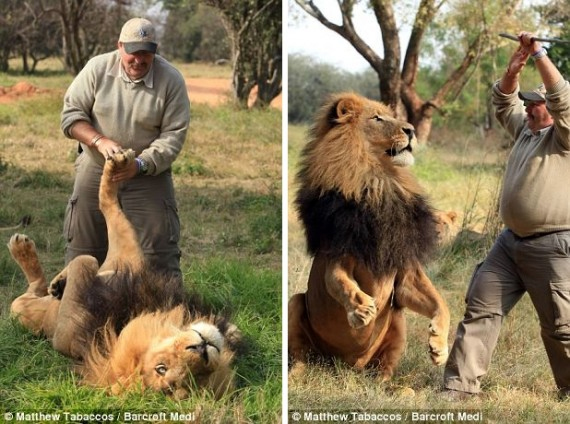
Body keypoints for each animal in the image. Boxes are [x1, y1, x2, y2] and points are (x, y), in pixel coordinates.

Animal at [11, 149, 237, 398]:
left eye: (196, 377)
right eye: (161, 368)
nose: (202, 350)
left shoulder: (66, 331)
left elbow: (87, 257)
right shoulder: (128, 253)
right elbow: (103, 212)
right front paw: (118, 162)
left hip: (20, 309)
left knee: (31, 290)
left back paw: (23, 251)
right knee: (36, 287)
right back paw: (30, 255)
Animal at [288, 93, 448, 380]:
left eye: (393, 116)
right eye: (377, 118)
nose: (411, 130)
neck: (379, 180)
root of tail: (348, 366)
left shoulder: (405, 271)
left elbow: (440, 301)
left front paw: (440, 343)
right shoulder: (336, 255)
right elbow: (339, 282)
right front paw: (361, 308)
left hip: (397, 321)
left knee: (385, 367)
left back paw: (388, 384)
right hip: (295, 304)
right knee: (300, 354)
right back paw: (295, 374)